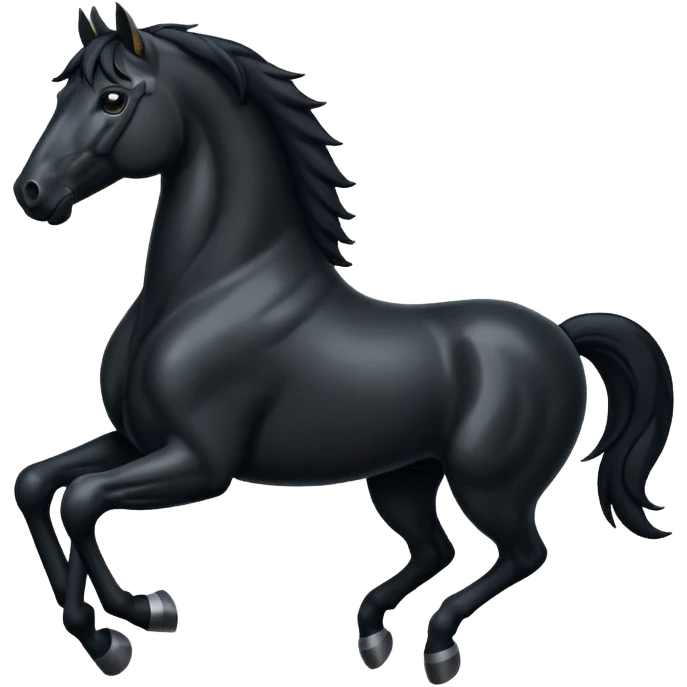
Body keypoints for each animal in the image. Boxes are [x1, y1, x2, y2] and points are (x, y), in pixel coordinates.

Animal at [12, 4, 674, 683]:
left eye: (114, 99)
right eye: (62, 95)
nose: (31, 193)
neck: (211, 290)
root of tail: (561, 335)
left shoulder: (199, 463)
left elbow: (82, 501)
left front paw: (138, 617)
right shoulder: (137, 440)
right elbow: (40, 487)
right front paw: (107, 635)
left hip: (490, 488)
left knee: (522, 554)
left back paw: (438, 647)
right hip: (404, 478)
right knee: (436, 548)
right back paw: (375, 635)